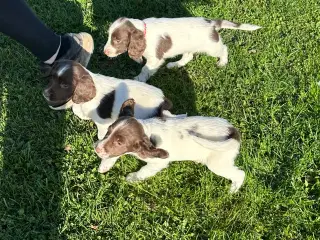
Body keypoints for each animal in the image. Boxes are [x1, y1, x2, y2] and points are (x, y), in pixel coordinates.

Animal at [42, 59, 184, 139]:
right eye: (52, 78)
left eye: (65, 85)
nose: (45, 94)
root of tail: (162, 99)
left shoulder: (103, 122)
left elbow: (101, 134)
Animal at [95, 98, 245, 193]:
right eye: (108, 130)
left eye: (120, 142)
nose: (96, 148)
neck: (147, 130)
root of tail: (233, 131)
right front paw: (105, 164)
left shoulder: (158, 163)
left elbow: (143, 170)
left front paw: (132, 178)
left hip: (218, 163)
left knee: (240, 174)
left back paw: (232, 190)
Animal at [104, 16, 262, 82]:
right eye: (109, 36)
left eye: (117, 40)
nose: (105, 51)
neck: (144, 32)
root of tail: (211, 23)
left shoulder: (155, 59)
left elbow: (145, 70)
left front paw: (138, 79)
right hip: (189, 46)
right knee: (188, 56)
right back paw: (175, 65)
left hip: (211, 47)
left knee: (224, 48)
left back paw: (222, 62)